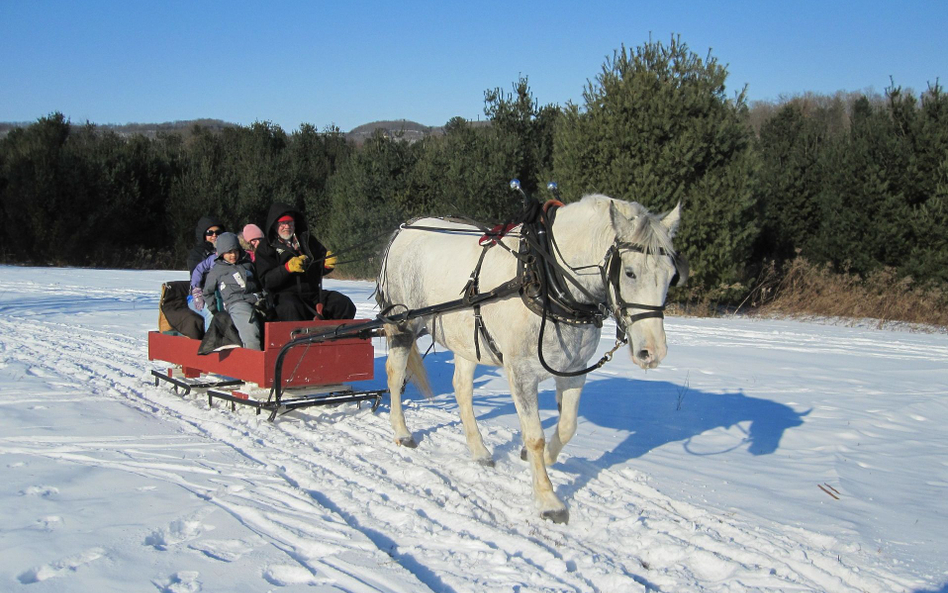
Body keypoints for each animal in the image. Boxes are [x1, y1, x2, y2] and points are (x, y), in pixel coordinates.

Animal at [374, 194, 676, 524]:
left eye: (671, 276)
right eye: (630, 272)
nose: (653, 352)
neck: (544, 278)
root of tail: (405, 228)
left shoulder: (574, 370)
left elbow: (567, 426)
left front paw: (544, 458)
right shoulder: (521, 373)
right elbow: (535, 436)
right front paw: (548, 500)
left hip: (466, 339)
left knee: (462, 389)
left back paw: (479, 451)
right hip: (402, 324)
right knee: (394, 374)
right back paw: (402, 432)